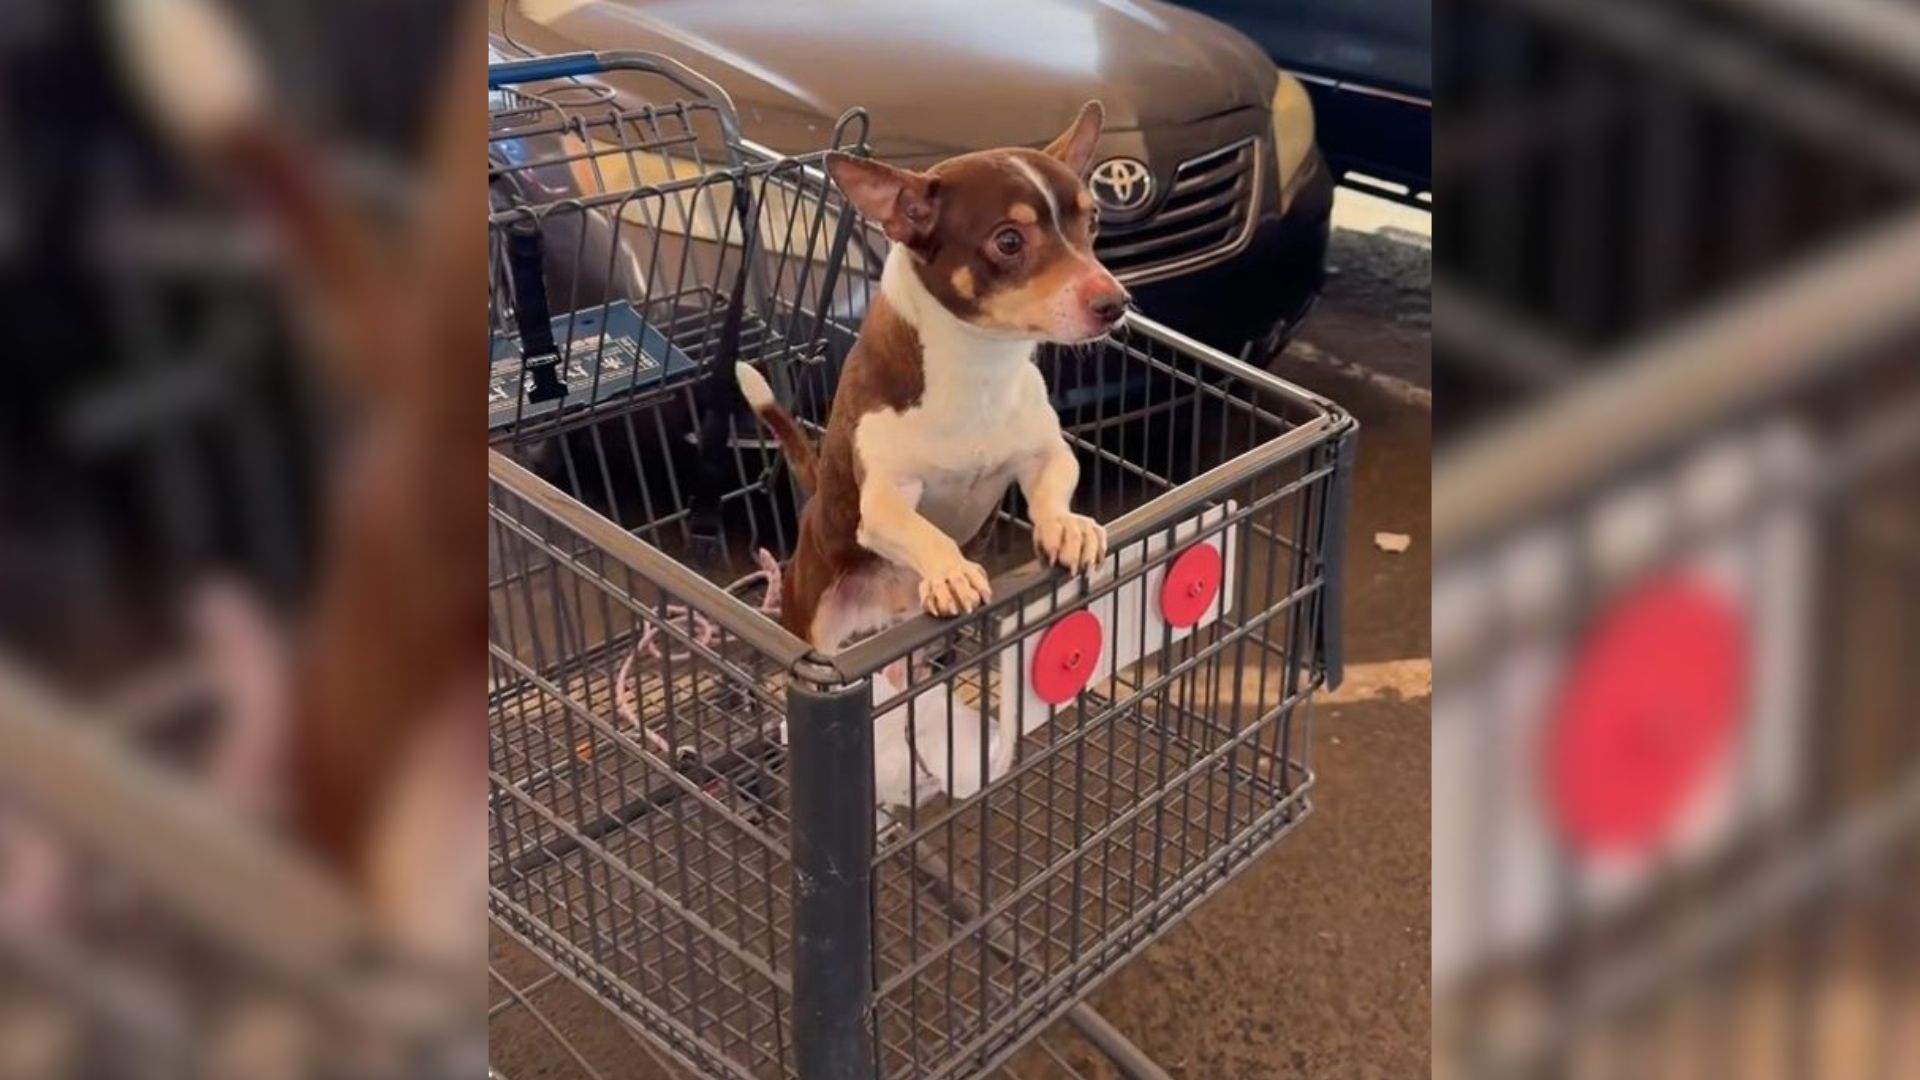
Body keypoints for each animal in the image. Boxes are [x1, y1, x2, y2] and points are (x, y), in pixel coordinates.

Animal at [733, 105, 1121, 653]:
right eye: (1008, 241)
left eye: (1093, 222)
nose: (1116, 303)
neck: (979, 366)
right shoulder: (883, 499)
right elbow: (923, 530)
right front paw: (951, 571)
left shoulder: (1048, 455)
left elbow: (1053, 487)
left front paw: (1066, 525)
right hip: (816, 625)